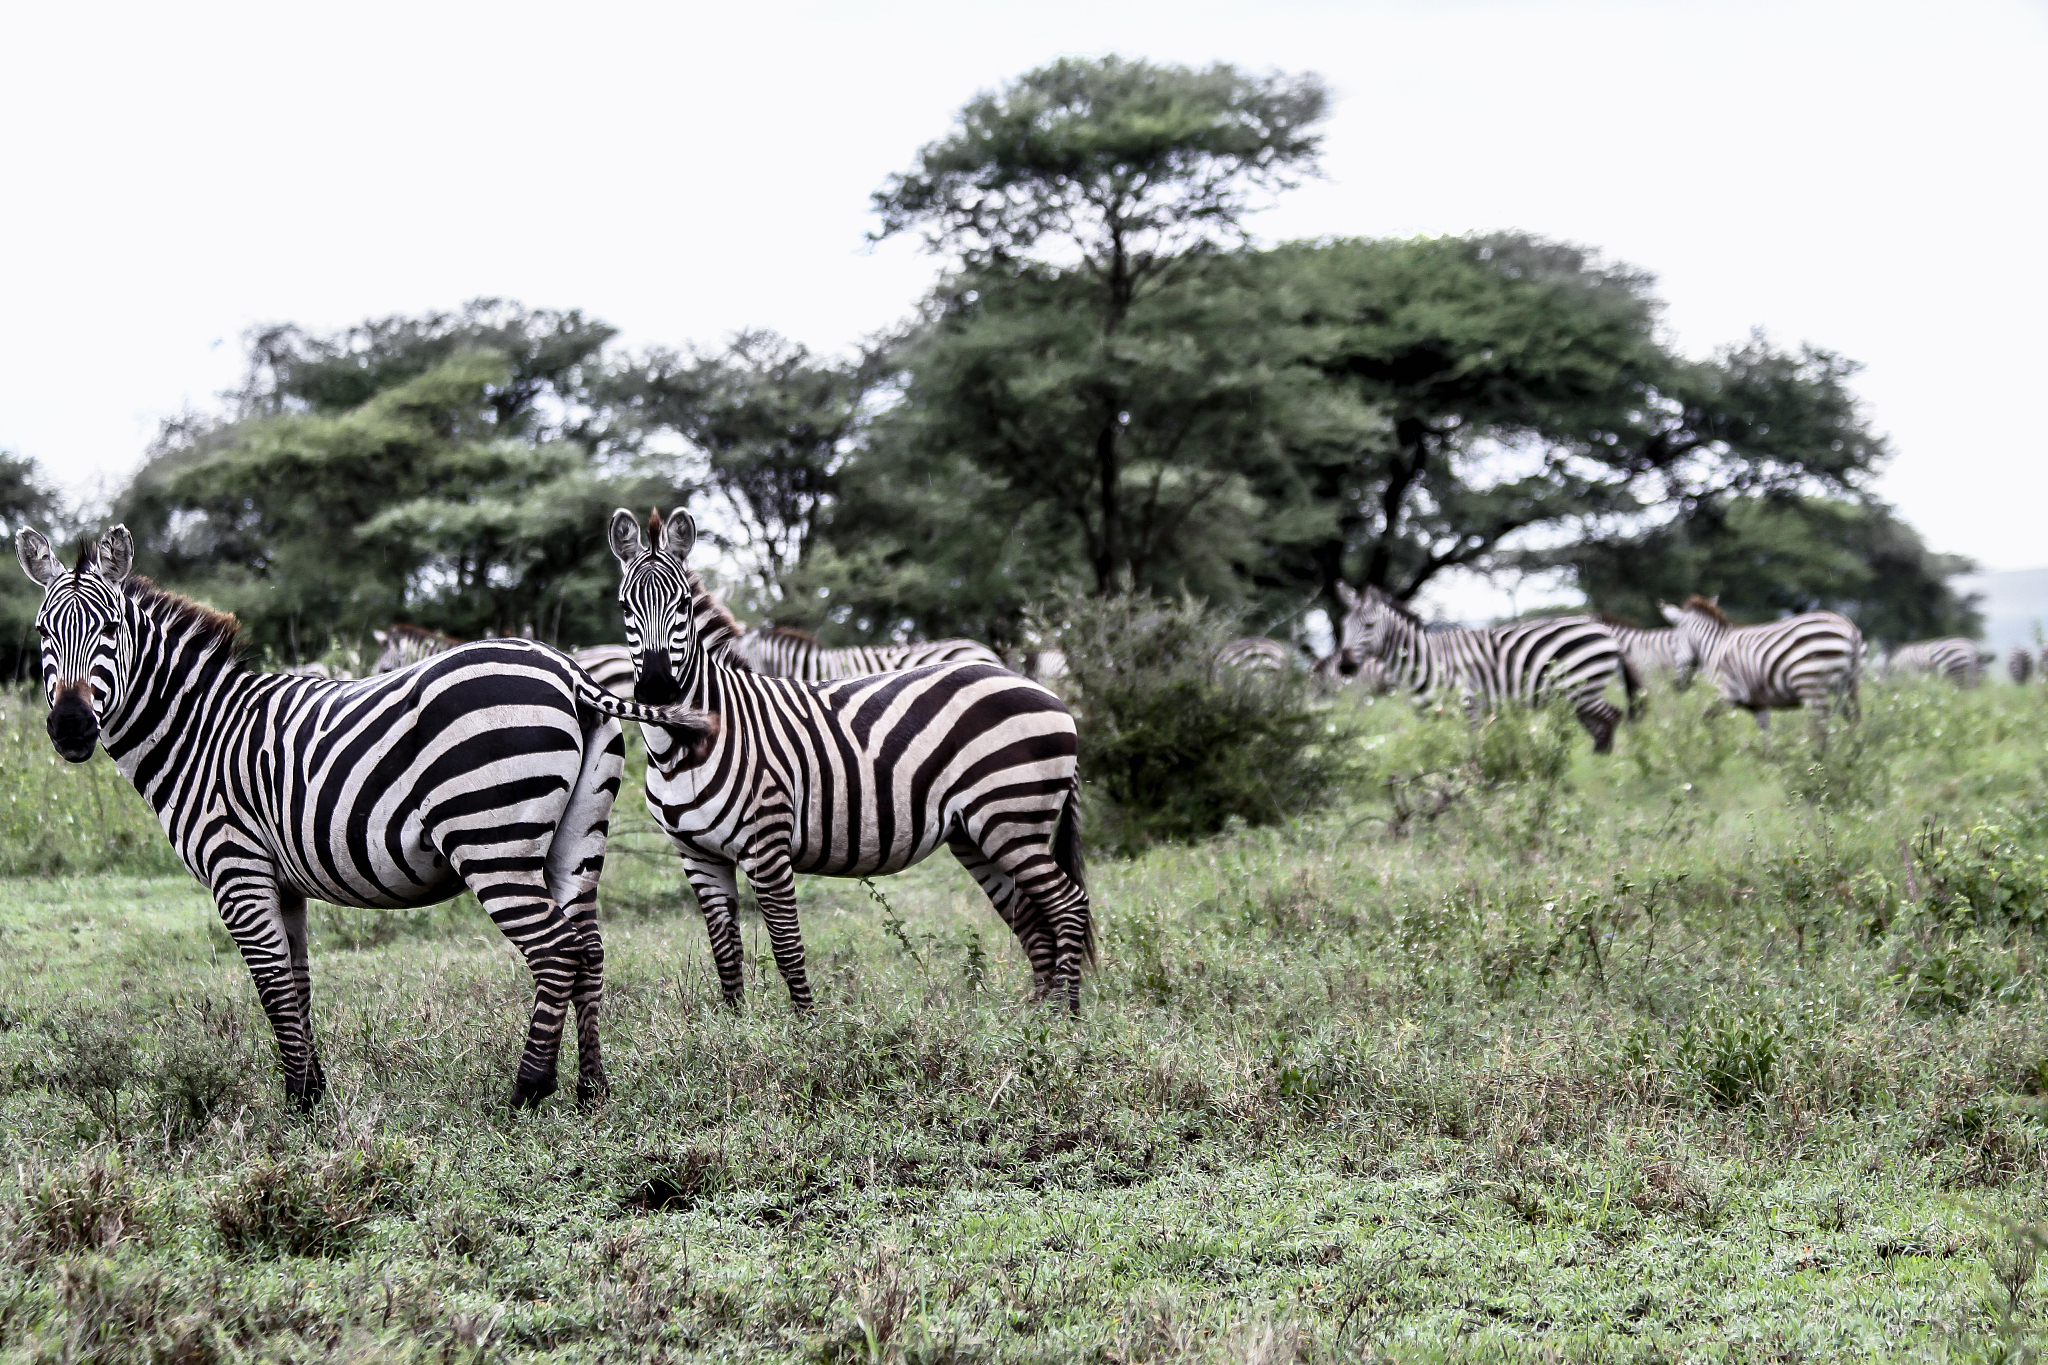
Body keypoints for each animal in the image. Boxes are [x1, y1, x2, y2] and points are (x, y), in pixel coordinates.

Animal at [16, 524, 716, 1111]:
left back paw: (527, 1090)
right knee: (589, 950)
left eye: (110, 632)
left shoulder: (236, 866)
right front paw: (313, 1091)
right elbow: (296, 980)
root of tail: (568, 669)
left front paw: (297, 1107)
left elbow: (270, 983)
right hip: (576, 839)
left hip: (491, 839)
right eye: (45, 635)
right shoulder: (282, 881)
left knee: (555, 951)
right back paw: (591, 1089)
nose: (70, 728)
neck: (200, 730)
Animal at [609, 507, 1094, 1012]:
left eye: (683, 604)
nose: (659, 690)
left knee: (1068, 905)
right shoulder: (697, 855)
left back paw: (1066, 1018)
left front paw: (806, 1026)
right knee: (1032, 918)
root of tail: (1047, 692)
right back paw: (1037, 1017)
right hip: (979, 833)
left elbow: (787, 946)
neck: (682, 746)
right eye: (625, 608)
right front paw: (735, 1023)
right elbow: (725, 950)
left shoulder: (768, 843)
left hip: (1012, 817)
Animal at [1331, 583, 1637, 751]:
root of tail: (1604, 628)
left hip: (1581, 688)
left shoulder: (1470, 708)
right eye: (1344, 625)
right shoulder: (1427, 717)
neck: (1424, 661)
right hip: (1575, 696)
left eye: (1369, 626)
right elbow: (1432, 756)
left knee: (1613, 716)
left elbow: (1471, 753)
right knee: (1600, 726)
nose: (1344, 666)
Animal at [1659, 596, 1861, 728]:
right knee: (1853, 721)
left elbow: (1706, 720)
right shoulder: (1758, 704)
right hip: (1846, 686)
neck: (1713, 647)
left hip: (1810, 683)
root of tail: (1848, 627)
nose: (1676, 685)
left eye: (1674, 644)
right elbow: (1765, 737)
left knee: (1820, 726)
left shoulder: (1725, 692)